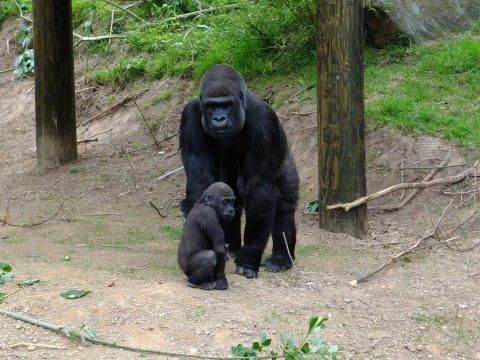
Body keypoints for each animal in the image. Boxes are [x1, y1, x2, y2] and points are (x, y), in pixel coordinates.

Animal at [180, 64, 298, 278]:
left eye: (226, 105)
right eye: (211, 106)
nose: (219, 118)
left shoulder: (264, 121)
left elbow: (259, 189)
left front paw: (248, 259)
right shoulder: (190, 117)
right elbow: (202, 182)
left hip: (287, 161)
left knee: (284, 206)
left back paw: (281, 259)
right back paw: (233, 248)